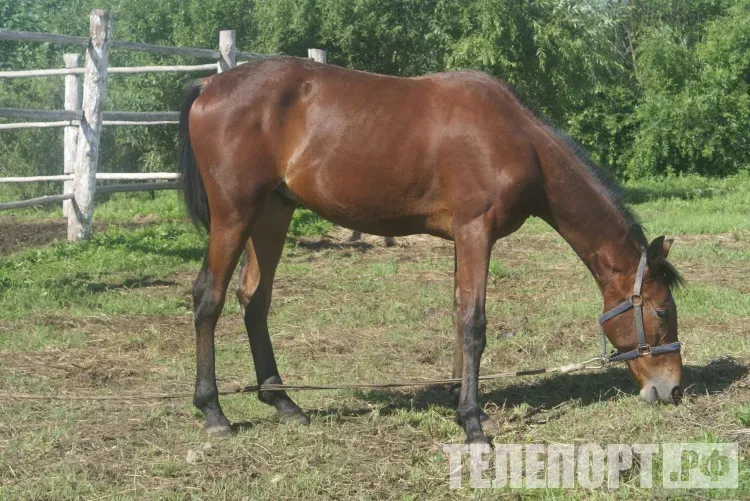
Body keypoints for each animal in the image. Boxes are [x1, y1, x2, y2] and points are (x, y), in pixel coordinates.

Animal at [179, 56, 684, 444]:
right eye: (663, 311)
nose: (675, 391)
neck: (519, 139)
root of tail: (211, 85)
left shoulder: (463, 237)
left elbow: (458, 314)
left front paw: (460, 399)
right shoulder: (476, 231)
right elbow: (474, 323)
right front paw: (473, 422)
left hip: (272, 213)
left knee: (254, 299)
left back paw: (283, 401)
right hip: (234, 215)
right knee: (209, 298)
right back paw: (214, 411)